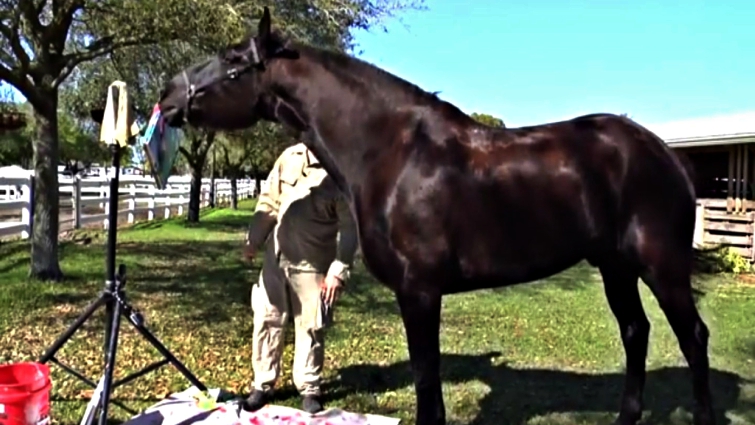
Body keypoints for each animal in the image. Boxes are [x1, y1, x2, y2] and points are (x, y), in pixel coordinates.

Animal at [156, 8, 715, 425]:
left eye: (232, 59)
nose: (166, 94)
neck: (392, 153)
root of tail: (665, 155)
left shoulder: (420, 291)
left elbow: (427, 382)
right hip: (615, 267)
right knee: (636, 332)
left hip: (661, 266)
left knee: (693, 337)